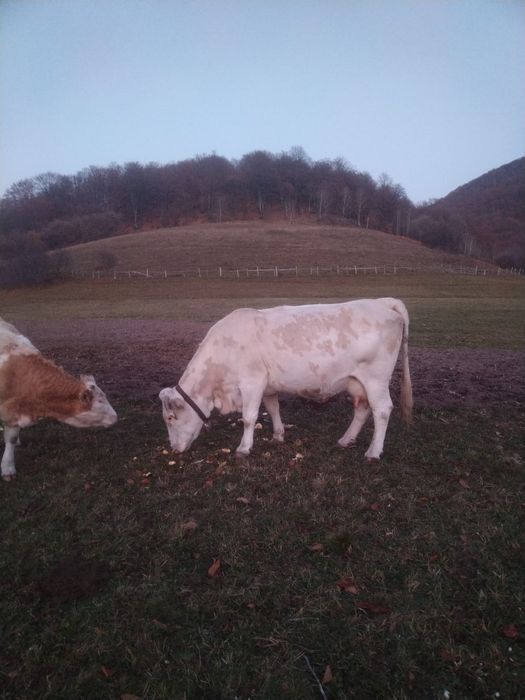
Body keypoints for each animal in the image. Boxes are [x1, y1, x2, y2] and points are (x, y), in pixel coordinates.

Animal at [159, 297, 412, 461]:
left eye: (170, 418)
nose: (174, 448)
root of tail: (382, 302)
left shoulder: (252, 381)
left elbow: (249, 417)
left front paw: (244, 448)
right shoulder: (268, 386)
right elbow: (273, 409)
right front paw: (278, 435)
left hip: (376, 379)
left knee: (382, 410)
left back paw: (373, 452)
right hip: (357, 382)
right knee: (362, 409)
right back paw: (345, 440)